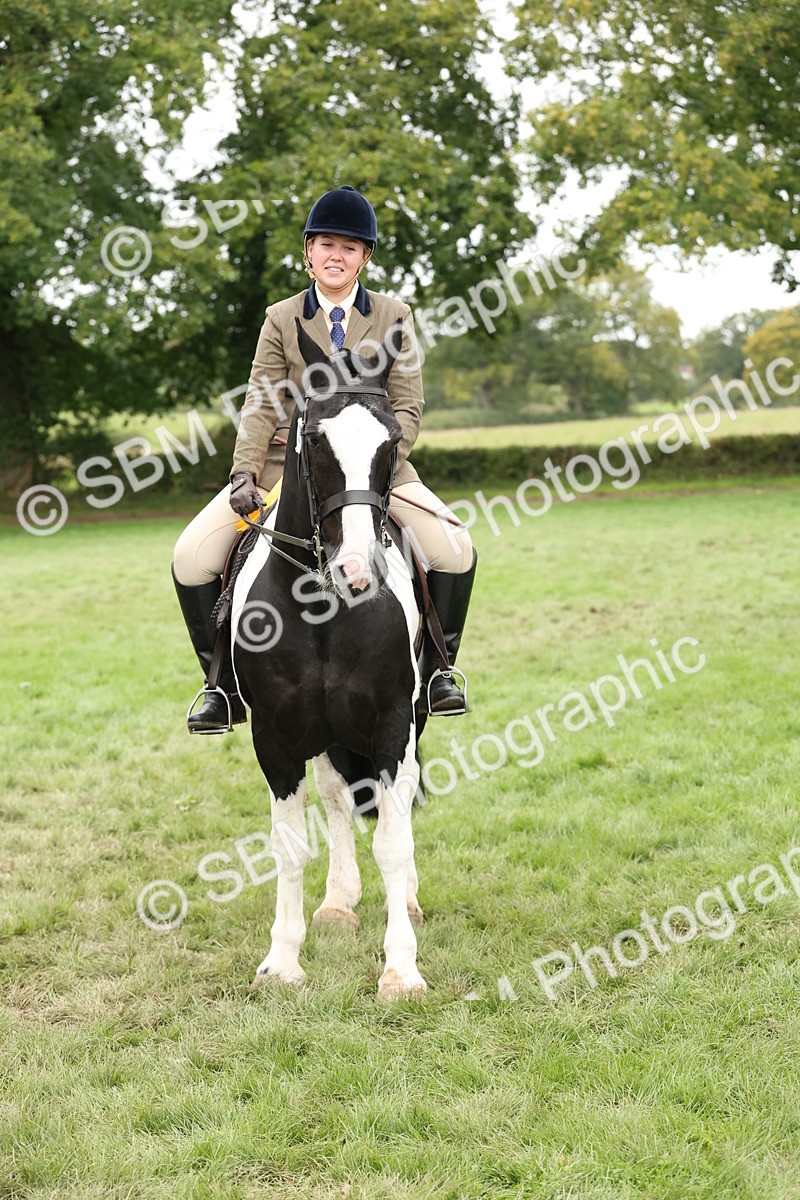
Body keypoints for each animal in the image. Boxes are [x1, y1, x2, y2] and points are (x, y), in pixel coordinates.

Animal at [230, 320, 428, 999]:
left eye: (391, 441)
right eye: (313, 438)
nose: (356, 572)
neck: (320, 607)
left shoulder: (392, 723)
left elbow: (393, 840)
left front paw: (401, 968)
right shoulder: (275, 736)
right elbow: (289, 844)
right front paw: (281, 961)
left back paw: (406, 900)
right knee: (339, 798)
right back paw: (339, 903)